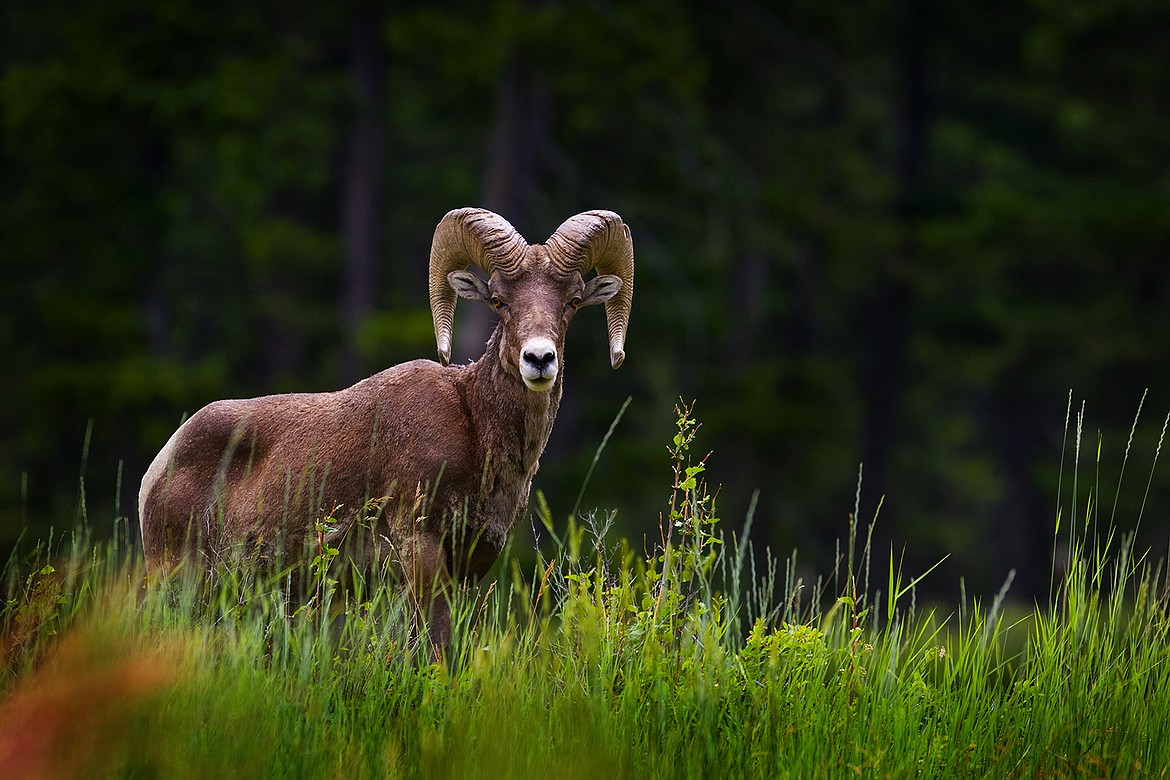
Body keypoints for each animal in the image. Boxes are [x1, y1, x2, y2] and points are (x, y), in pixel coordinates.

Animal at [138, 209, 636, 654]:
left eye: (572, 302)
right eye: (499, 301)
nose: (539, 359)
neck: (476, 427)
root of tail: (158, 468)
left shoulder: (468, 568)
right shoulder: (421, 551)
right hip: (178, 580)